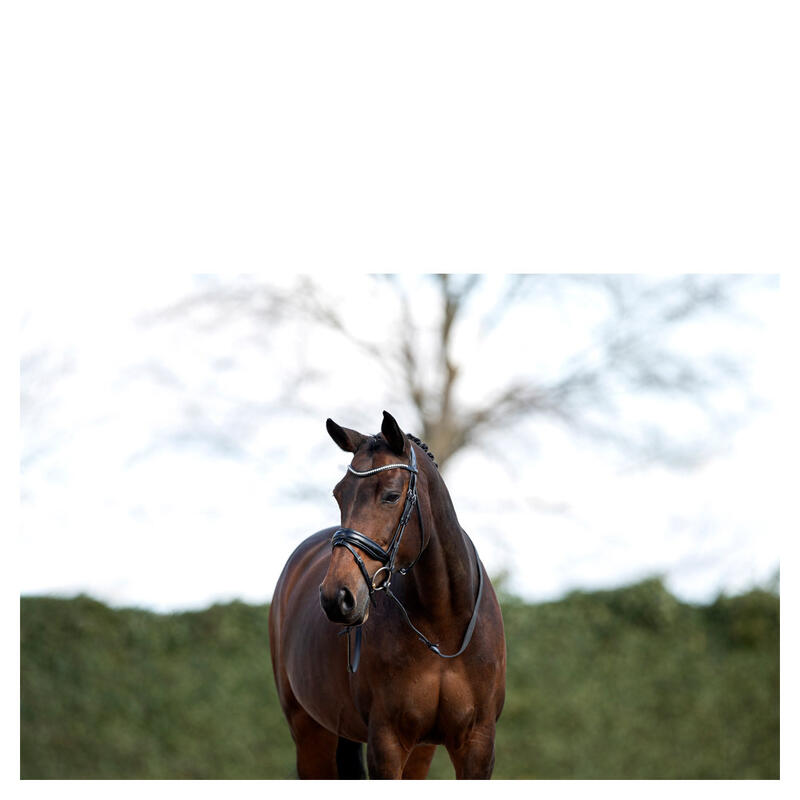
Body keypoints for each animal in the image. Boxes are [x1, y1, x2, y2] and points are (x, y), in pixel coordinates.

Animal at [268, 410, 506, 780]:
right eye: (339, 494)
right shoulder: (387, 744)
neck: (444, 627)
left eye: (391, 496)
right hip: (311, 735)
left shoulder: (477, 746)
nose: (337, 597)